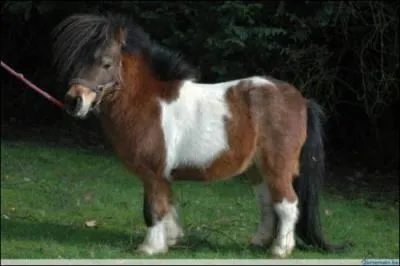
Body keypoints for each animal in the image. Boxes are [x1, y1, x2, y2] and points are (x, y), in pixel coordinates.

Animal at [51, 13, 348, 258]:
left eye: (106, 63)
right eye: (78, 61)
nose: (74, 101)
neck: (148, 102)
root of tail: (301, 100)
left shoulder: (152, 173)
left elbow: (153, 209)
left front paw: (150, 247)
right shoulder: (162, 175)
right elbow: (169, 204)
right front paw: (171, 240)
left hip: (277, 167)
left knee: (287, 204)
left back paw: (280, 249)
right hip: (256, 169)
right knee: (267, 203)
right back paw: (259, 242)